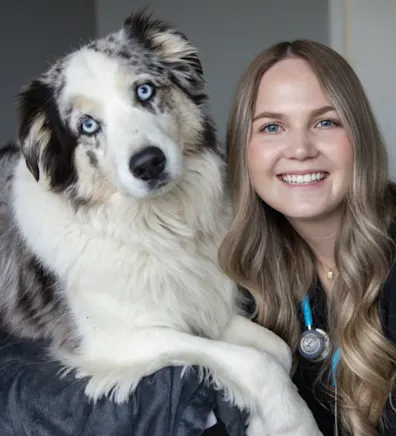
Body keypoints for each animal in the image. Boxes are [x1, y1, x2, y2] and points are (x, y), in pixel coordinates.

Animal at [0, 10, 322, 436]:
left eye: (144, 91)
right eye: (88, 125)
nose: (148, 163)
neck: (160, 228)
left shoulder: (206, 309)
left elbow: (278, 350)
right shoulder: (118, 339)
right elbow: (255, 363)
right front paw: (292, 421)